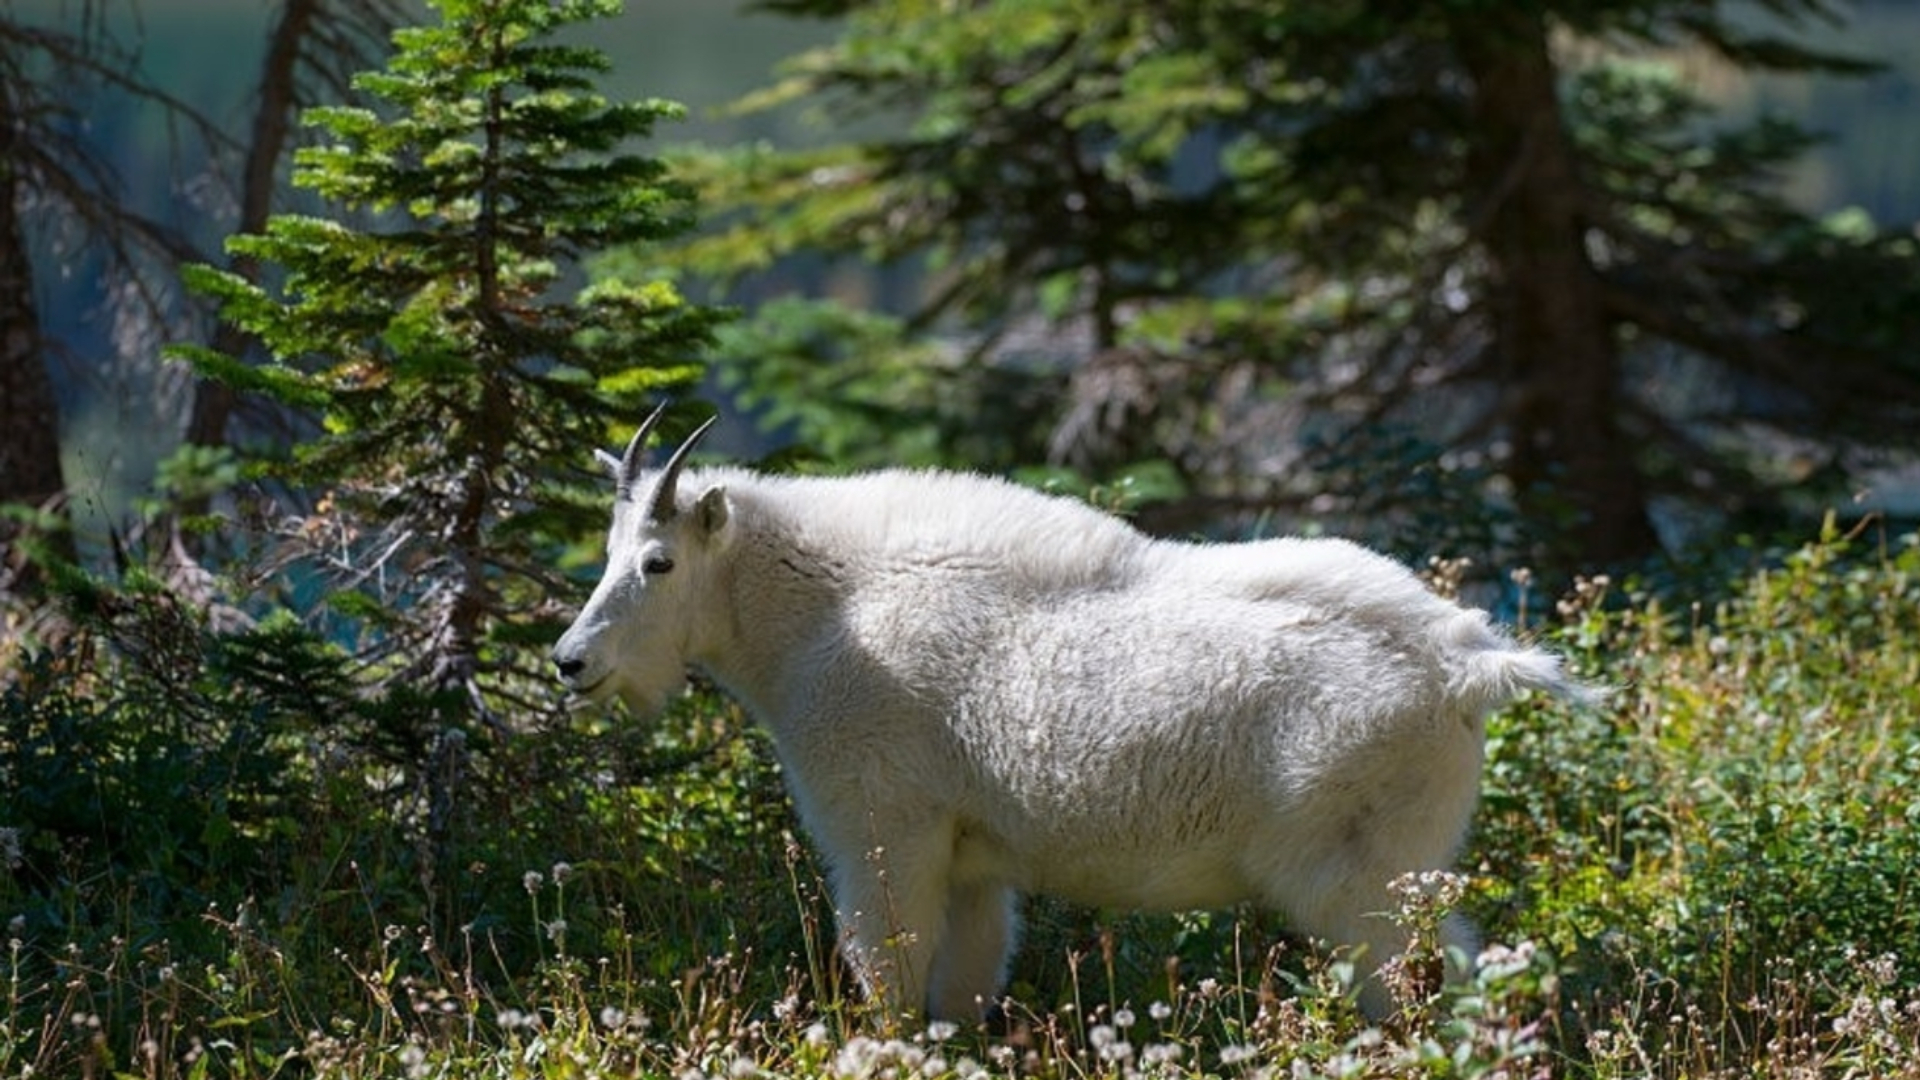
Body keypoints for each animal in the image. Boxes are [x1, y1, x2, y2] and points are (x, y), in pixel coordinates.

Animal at [549, 405, 1582, 1014]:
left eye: (657, 561)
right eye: (606, 549)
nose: (572, 661)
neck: (821, 611)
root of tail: (1464, 661)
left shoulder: (883, 826)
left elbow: (889, 970)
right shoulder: (969, 856)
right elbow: (963, 985)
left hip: (1359, 865)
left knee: (1422, 978)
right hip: (1409, 855)